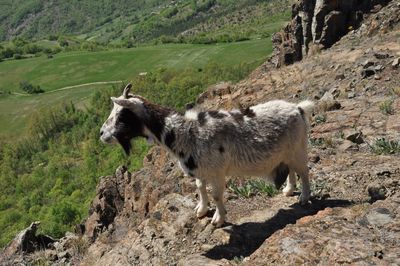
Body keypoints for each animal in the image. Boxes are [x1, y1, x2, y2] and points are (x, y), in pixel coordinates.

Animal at [101, 84, 316, 225]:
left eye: (122, 115)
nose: (102, 134)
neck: (186, 133)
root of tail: (298, 108)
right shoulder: (200, 169)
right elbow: (200, 188)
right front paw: (201, 210)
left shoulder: (216, 171)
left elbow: (217, 195)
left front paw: (218, 219)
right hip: (286, 152)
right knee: (291, 170)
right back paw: (288, 190)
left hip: (298, 148)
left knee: (304, 171)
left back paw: (304, 197)